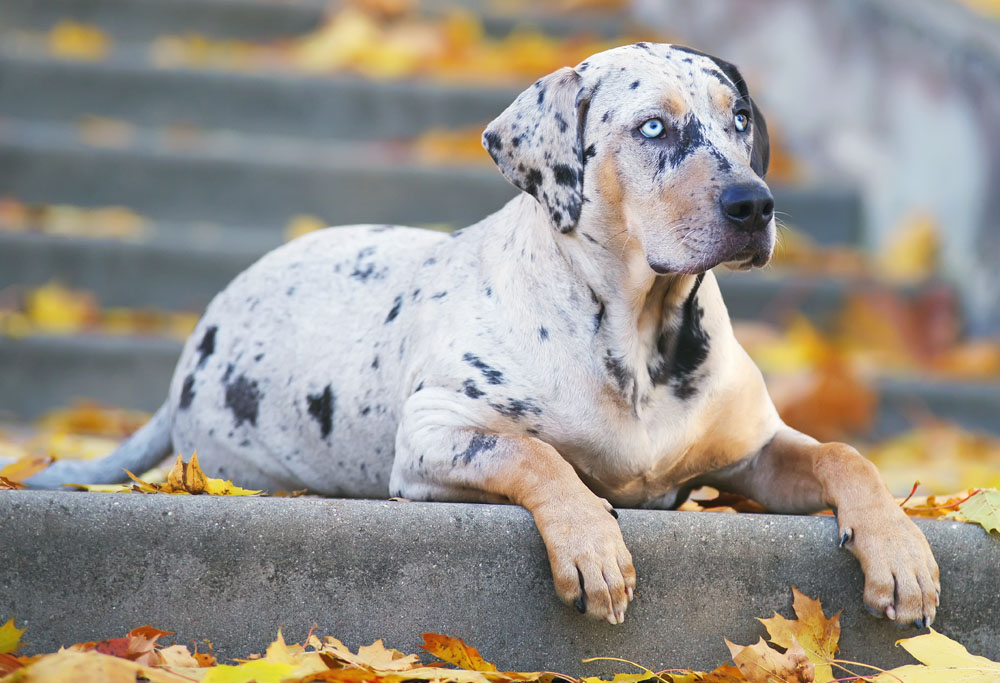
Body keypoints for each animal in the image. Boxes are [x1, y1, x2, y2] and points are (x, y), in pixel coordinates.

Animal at [29, 41, 936, 632]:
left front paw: (899, 548)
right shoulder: (436, 435)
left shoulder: (754, 450)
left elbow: (844, 456)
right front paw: (590, 540)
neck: (642, 335)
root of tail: (198, 343)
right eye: (652, 127)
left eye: (740, 117)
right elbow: (532, 454)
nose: (755, 204)